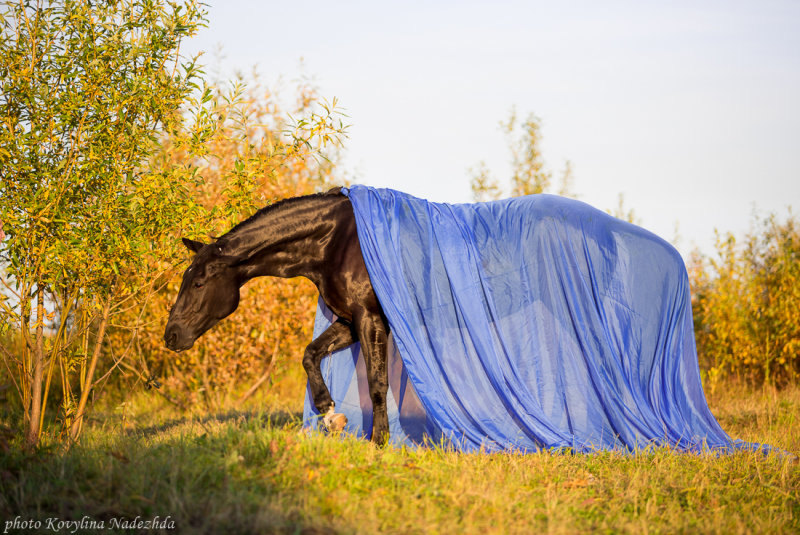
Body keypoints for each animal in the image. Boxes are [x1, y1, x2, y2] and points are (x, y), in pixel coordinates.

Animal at [164, 188, 390, 444]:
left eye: (199, 283)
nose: (171, 335)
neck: (338, 243)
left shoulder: (370, 317)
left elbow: (377, 382)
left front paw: (379, 441)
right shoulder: (351, 320)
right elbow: (310, 354)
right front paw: (330, 415)